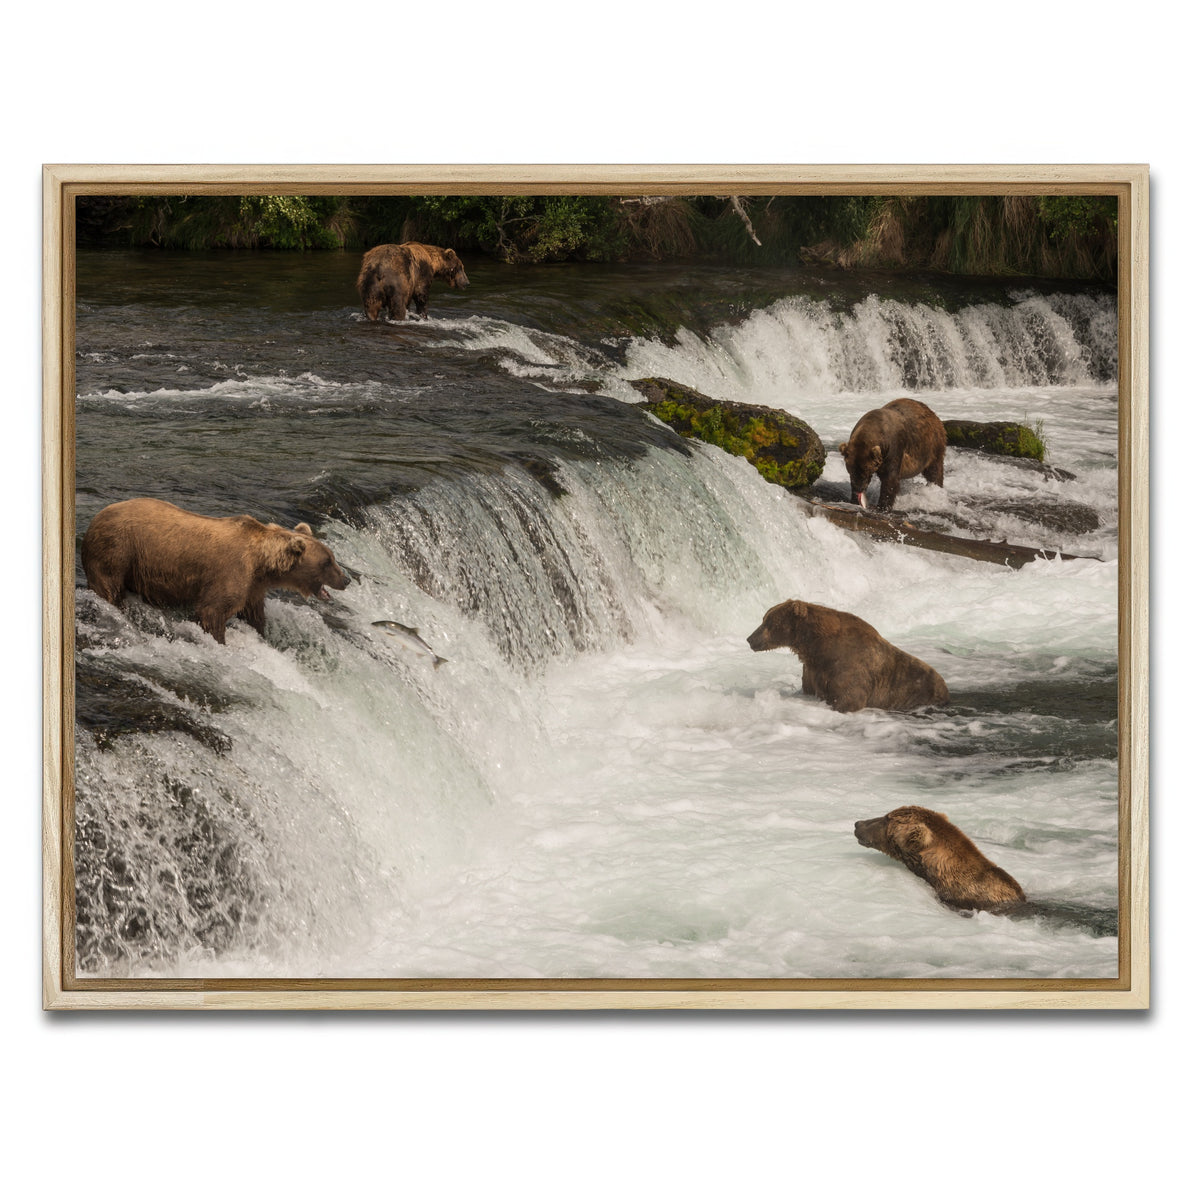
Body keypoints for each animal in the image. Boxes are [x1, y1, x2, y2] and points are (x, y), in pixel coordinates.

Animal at [80, 497, 351, 645]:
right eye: (328, 561)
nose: (347, 579)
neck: (261, 564)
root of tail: (94, 519)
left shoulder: (253, 587)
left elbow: (254, 615)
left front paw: (262, 633)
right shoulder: (231, 572)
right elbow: (213, 611)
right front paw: (221, 641)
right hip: (117, 551)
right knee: (109, 588)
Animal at [746, 599, 948, 713]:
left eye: (767, 621)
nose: (750, 639)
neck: (816, 647)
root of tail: (945, 687)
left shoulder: (849, 666)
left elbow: (849, 698)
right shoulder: (813, 670)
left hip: (919, 691)